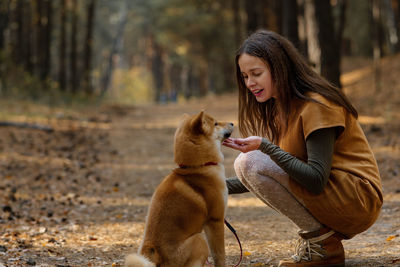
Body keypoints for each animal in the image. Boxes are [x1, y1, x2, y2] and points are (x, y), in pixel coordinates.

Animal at [125, 112, 234, 267]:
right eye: (216, 123)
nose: (232, 123)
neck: (197, 167)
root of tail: (157, 256)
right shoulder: (215, 220)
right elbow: (220, 255)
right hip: (200, 239)